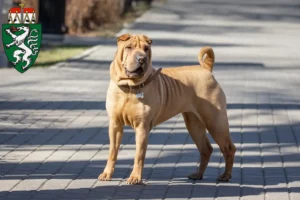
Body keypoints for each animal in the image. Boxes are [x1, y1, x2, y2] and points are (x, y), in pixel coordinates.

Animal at [97, 34, 236, 184]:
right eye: (129, 47)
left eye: (146, 49)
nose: (142, 58)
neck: (129, 87)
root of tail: (206, 69)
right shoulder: (115, 125)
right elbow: (112, 152)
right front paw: (107, 174)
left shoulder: (142, 127)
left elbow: (139, 155)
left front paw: (135, 177)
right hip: (194, 124)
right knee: (206, 149)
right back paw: (198, 174)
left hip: (215, 122)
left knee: (228, 148)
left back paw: (225, 175)